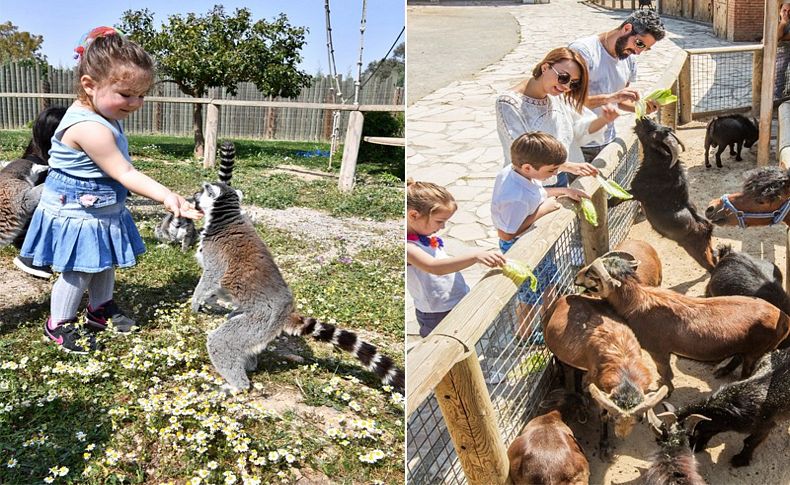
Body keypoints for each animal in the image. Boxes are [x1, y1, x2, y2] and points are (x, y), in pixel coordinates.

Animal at [544, 294, 668, 456]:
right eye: (614, 417)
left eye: (640, 419)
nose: (621, 436)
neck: (623, 361)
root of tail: (562, 298)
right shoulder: (597, 380)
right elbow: (602, 414)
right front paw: (604, 445)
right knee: (561, 362)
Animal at [576, 253, 790, 394]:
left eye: (592, 274)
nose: (576, 276)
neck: (636, 302)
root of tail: (784, 318)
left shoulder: (658, 351)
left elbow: (665, 372)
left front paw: (665, 390)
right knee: (737, 356)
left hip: (756, 351)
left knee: (746, 369)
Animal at [632, 116, 716, 270]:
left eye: (653, 134)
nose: (644, 118)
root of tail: (706, 227)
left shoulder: (637, 192)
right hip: (706, 245)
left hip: (696, 249)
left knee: (710, 265)